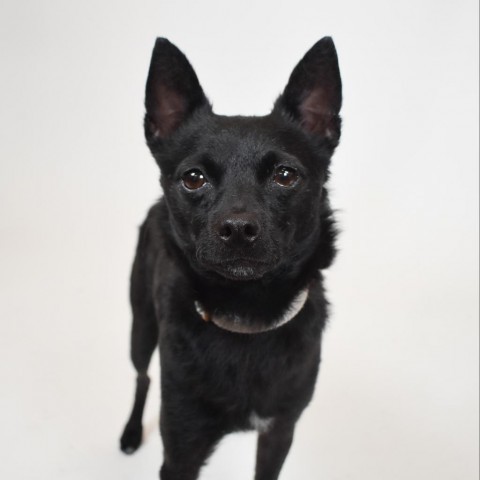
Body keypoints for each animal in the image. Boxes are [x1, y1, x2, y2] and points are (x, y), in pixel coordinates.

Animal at [122, 37, 344, 480]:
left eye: (285, 175)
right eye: (194, 178)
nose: (239, 229)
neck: (247, 318)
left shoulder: (279, 431)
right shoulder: (182, 451)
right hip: (140, 324)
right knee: (141, 377)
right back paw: (132, 433)